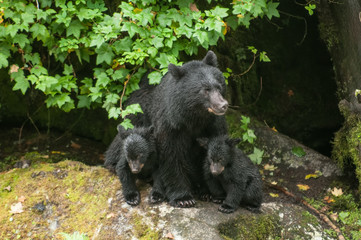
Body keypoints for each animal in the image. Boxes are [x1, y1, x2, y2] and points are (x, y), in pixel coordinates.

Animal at [122, 50, 226, 206]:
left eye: (219, 86)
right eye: (205, 90)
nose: (223, 105)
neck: (193, 118)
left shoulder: (213, 125)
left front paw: (208, 192)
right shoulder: (170, 125)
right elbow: (172, 155)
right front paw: (183, 198)